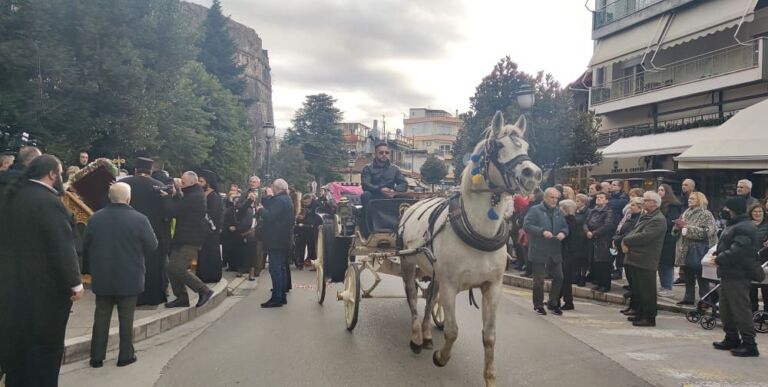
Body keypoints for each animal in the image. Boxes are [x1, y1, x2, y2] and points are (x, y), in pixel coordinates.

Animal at [400, 110, 544, 386]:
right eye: (497, 146)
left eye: (527, 146)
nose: (532, 174)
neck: (479, 230)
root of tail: (411, 206)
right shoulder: (450, 285)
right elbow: (453, 331)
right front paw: (441, 357)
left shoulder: (492, 286)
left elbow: (489, 336)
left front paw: (490, 377)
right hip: (408, 264)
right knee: (412, 298)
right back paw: (415, 337)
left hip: (433, 272)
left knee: (429, 297)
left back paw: (426, 334)